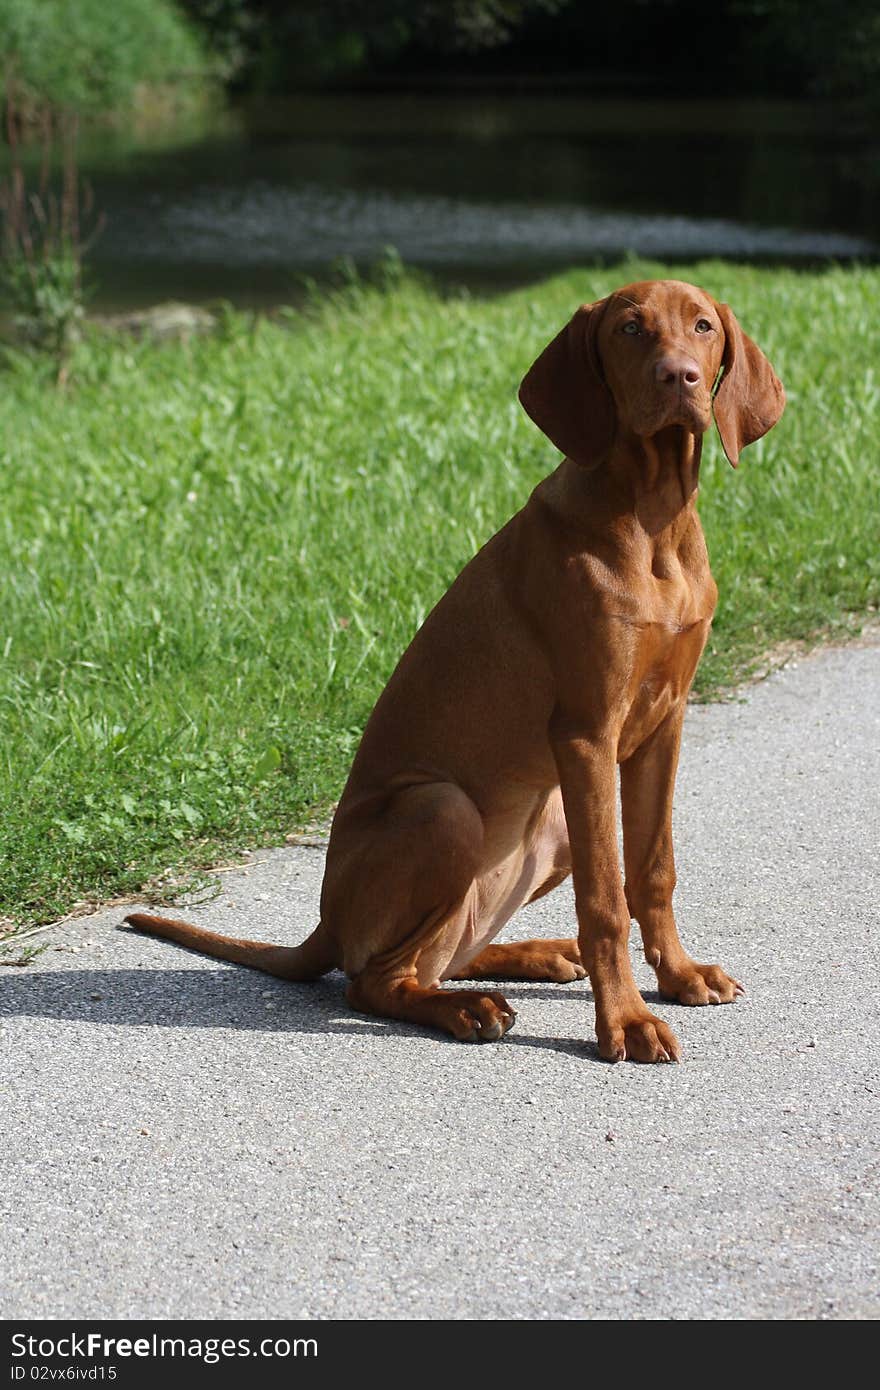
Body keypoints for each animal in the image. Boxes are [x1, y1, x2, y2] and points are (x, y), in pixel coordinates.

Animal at [125, 279, 784, 1061]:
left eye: (703, 327)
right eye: (630, 329)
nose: (678, 377)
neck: (653, 520)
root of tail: (324, 923)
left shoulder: (664, 723)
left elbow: (652, 869)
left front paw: (679, 976)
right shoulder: (587, 733)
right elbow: (605, 897)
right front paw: (624, 1020)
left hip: (550, 821)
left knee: (442, 954)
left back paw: (533, 957)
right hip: (445, 809)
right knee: (372, 981)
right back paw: (466, 1009)